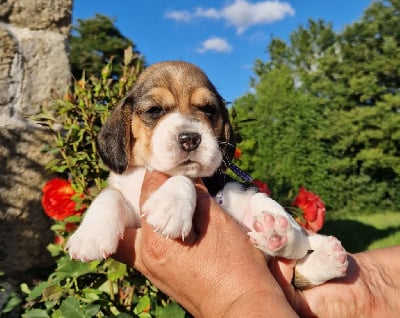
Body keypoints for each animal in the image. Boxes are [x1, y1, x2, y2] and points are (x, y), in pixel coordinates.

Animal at [66, 60, 346, 290]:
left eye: (209, 109)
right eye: (155, 110)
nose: (190, 138)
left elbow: (184, 177)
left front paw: (170, 205)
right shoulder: (131, 210)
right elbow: (109, 196)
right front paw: (90, 236)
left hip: (251, 195)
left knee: (296, 238)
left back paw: (281, 234)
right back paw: (324, 256)